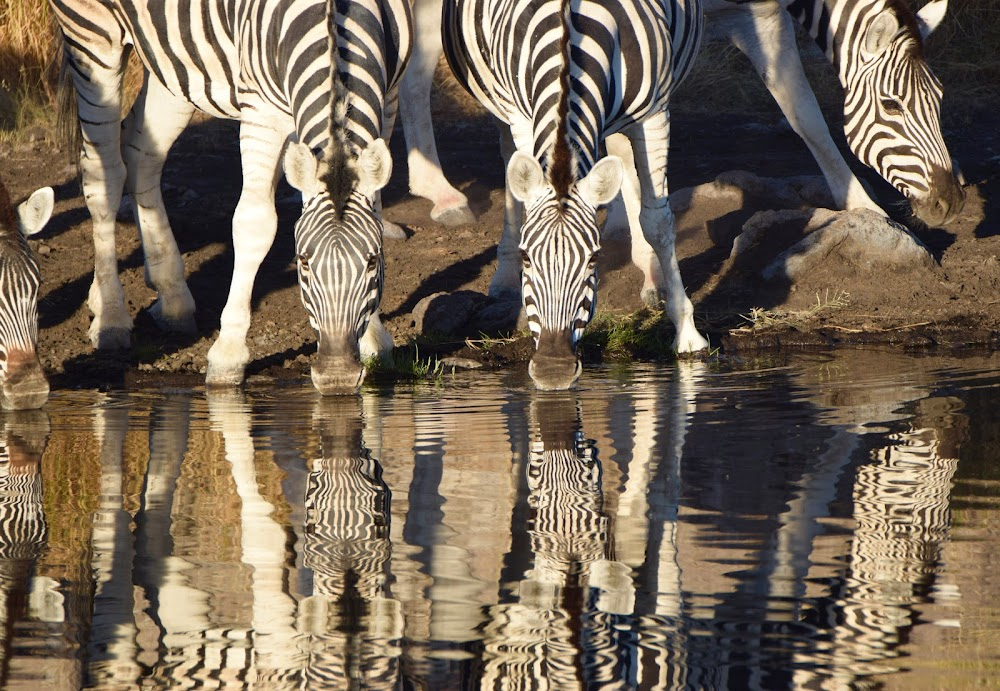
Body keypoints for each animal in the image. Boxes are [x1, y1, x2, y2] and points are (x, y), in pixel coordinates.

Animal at [49, 0, 410, 394]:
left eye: (373, 262)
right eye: (302, 262)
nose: (337, 377)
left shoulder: (389, 97)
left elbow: (374, 209)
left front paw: (374, 338)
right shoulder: (262, 110)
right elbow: (255, 225)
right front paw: (228, 354)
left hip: (173, 62)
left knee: (142, 154)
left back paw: (171, 296)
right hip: (92, 36)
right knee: (105, 173)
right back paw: (110, 314)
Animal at [446, 0, 712, 390]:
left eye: (594, 258)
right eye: (527, 258)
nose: (552, 370)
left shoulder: (654, 115)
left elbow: (658, 222)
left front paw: (687, 332)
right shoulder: (521, 116)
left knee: (622, 162)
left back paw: (651, 276)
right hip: (498, 108)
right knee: (509, 160)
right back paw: (503, 277)